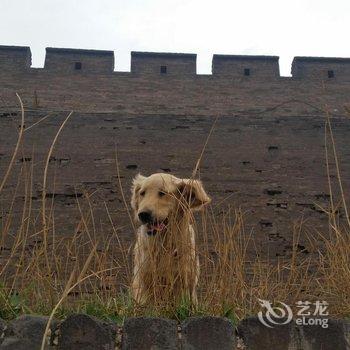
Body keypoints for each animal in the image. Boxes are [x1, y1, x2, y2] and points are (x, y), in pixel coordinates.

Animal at [130, 174, 209, 304]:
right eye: (142, 193)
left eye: (162, 193)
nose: (143, 214)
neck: (164, 244)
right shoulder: (146, 282)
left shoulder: (184, 280)